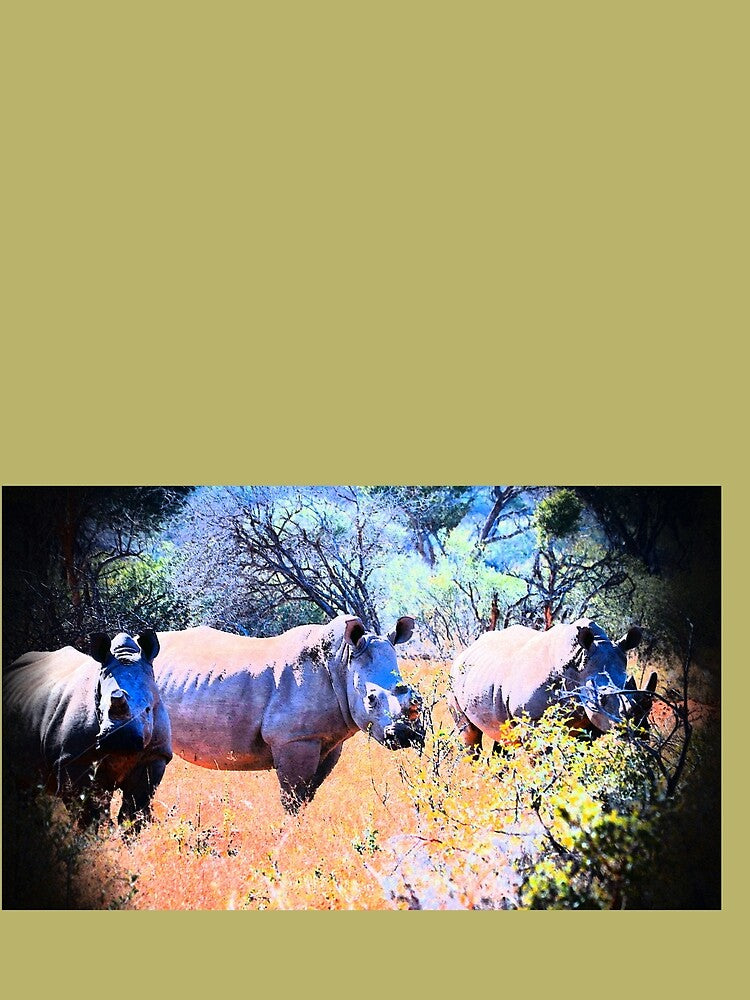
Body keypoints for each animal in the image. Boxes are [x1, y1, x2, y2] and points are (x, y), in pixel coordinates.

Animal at [3, 630, 172, 831]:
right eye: (100, 709)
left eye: (148, 710)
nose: (121, 738)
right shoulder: (74, 759)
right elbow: (88, 811)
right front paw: (90, 837)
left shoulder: (155, 755)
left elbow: (133, 810)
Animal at [153, 614, 424, 812]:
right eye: (371, 699)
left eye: (414, 697)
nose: (405, 735)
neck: (342, 663)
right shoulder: (293, 739)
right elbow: (292, 799)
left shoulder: (328, 740)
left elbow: (307, 795)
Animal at [449, 619, 651, 751]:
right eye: (599, 700)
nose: (640, 731)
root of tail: (464, 652)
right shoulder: (531, 724)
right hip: (454, 683)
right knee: (469, 734)